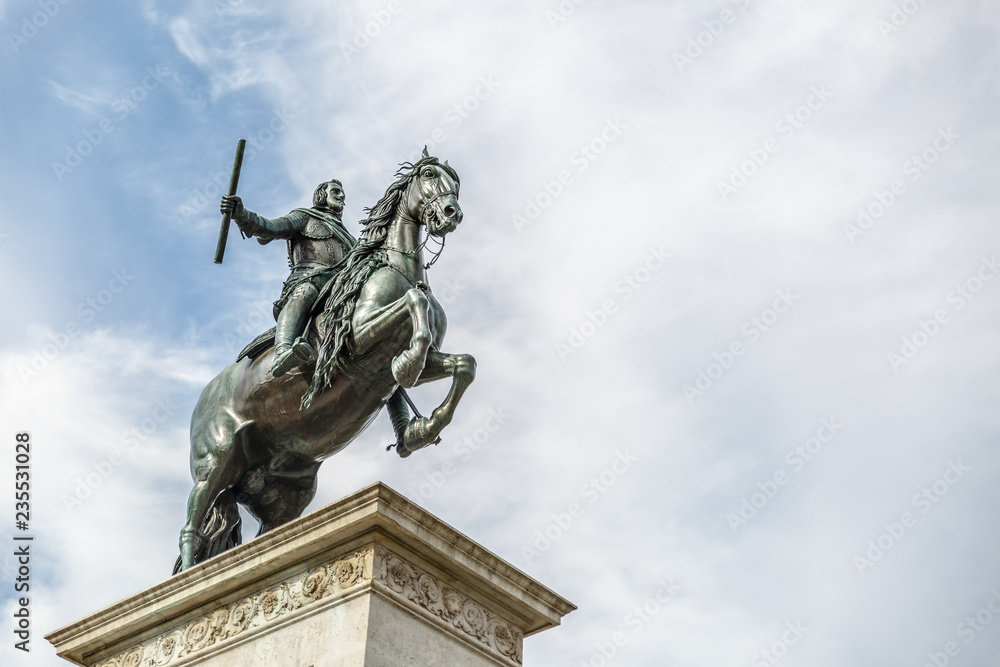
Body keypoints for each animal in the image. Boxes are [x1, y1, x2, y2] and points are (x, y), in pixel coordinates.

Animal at [178, 153, 474, 576]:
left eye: (456, 182)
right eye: (430, 174)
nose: (452, 212)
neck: (397, 269)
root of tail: (204, 397)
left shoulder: (423, 360)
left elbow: (463, 364)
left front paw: (425, 426)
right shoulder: (358, 335)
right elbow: (414, 305)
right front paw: (407, 363)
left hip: (285, 493)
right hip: (216, 461)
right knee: (192, 525)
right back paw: (190, 576)